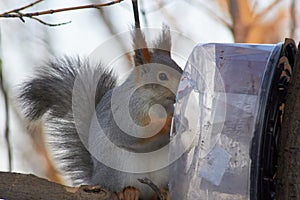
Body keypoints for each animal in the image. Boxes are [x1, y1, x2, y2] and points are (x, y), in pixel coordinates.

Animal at [19, 10, 183, 200]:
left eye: (180, 68)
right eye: (162, 76)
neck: (155, 102)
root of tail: (96, 178)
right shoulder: (122, 113)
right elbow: (129, 134)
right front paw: (165, 123)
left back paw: (164, 192)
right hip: (119, 170)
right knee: (120, 186)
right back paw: (128, 192)